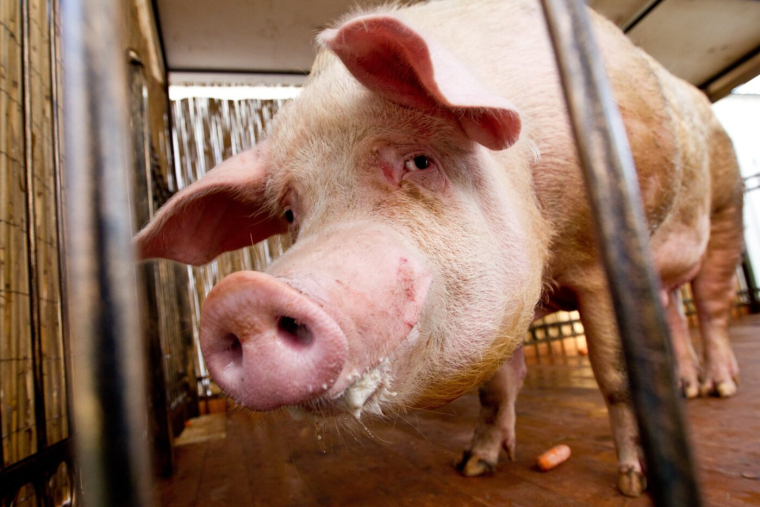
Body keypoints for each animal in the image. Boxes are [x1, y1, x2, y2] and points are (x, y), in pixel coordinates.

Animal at [135, 0, 743, 497]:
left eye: (420, 161)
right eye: (290, 213)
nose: (240, 296)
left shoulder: (596, 258)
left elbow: (615, 375)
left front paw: (632, 482)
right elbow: (497, 384)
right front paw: (475, 466)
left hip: (727, 209)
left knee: (710, 307)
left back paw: (719, 389)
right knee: (673, 306)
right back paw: (688, 386)